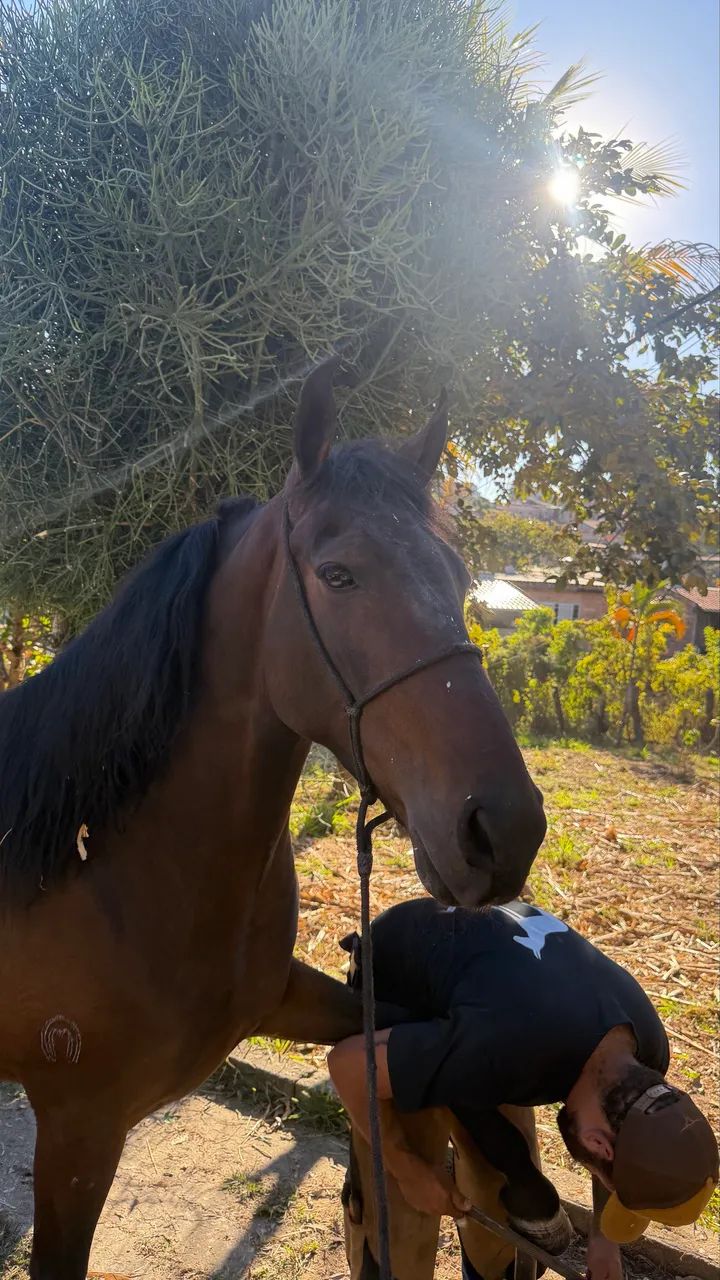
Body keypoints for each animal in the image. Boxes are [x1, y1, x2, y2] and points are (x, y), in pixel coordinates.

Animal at [0, 365, 546, 1279]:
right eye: (336, 574)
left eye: (457, 574)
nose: (504, 829)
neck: (110, 870)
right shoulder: (77, 1140)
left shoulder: (285, 997)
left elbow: (409, 1035)